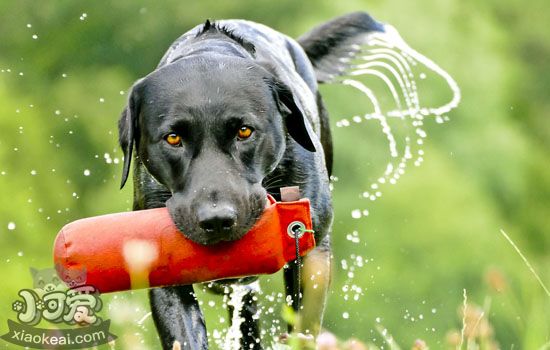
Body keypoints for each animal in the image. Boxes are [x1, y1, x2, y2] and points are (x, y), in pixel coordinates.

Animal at [117, 11, 384, 350]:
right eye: (173, 138)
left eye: (244, 131)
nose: (217, 220)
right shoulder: (162, 273)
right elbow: (185, 335)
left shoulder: (313, 252)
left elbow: (302, 326)